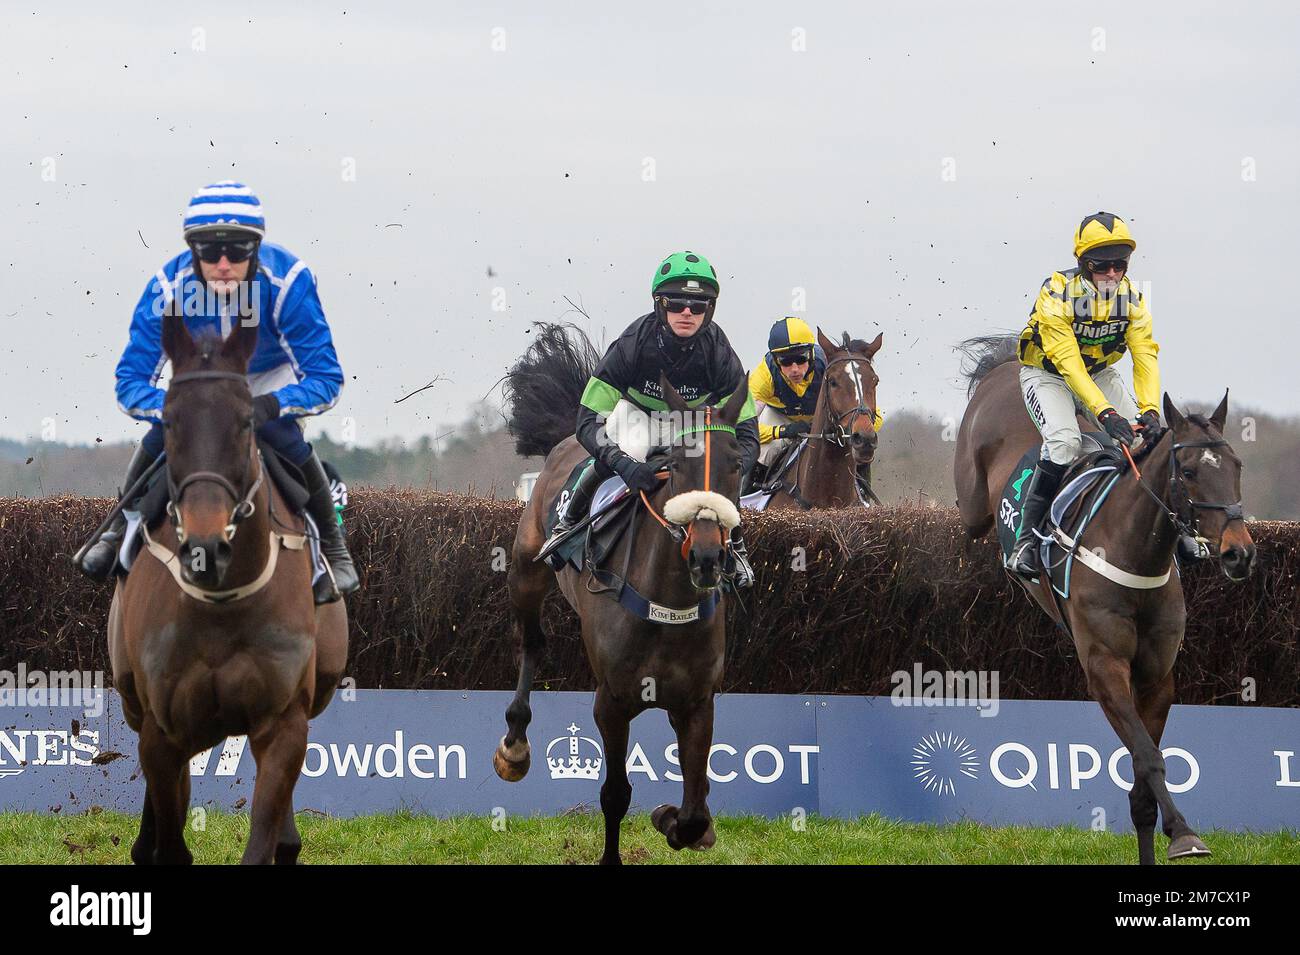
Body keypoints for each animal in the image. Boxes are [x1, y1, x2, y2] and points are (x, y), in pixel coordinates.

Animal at [107, 315, 348, 867]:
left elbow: (264, 837)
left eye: (244, 423)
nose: (204, 547)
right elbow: (172, 839)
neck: (221, 607)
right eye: (170, 422)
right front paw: (152, 842)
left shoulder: (284, 723)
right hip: (134, 700)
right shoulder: (163, 731)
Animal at [491, 323, 748, 867]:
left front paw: (674, 820)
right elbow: (615, 794)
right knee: (531, 643)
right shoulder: (611, 700)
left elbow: (695, 809)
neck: (667, 601)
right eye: (675, 466)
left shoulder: (698, 701)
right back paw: (514, 745)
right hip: (525, 571)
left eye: (738, 464)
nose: (707, 557)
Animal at [961, 337, 1253, 867]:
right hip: (975, 499)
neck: (1133, 554)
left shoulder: (1157, 675)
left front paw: (1164, 834)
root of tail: (1008, 363)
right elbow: (1148, 758)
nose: (1239, 553)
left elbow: (1142, 777)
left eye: (1237, 467)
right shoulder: (1104, 667)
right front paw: (1184, 834)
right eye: (1188, 471)